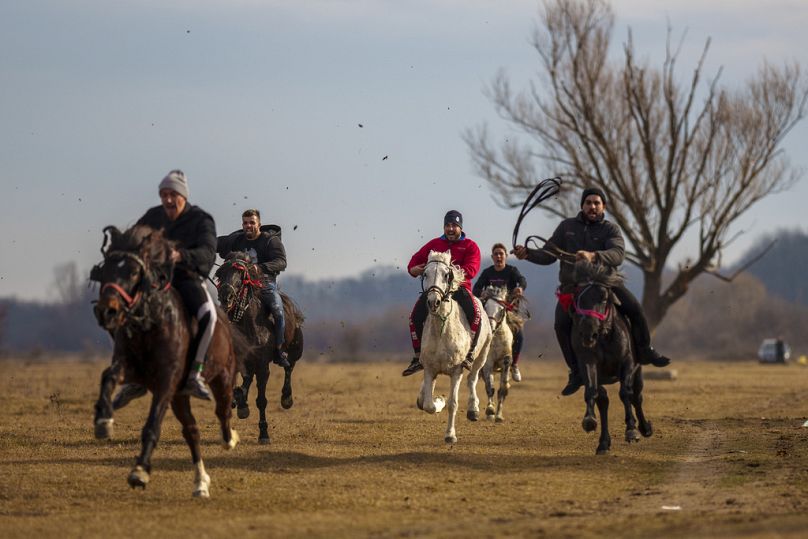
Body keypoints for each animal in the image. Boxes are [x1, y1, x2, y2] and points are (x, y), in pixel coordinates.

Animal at [92, 225, 240, 497]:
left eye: (133, 272)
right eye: (105, 269)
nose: (106, 311)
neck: (150, 322)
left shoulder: (165, 382)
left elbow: (152, 426)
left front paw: (140, 471)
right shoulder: (132, 369)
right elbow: (108, 376)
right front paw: (103, 421)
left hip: (222, 378)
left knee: (223, 413)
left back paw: (230, 439)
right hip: (179, 397)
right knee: (192, 431)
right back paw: (200, 483)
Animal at [214, 251, 304, 444]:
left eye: (241, 275)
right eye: (221, 272)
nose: (226, 296)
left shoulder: (263, 366)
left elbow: (261, 400)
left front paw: (264, 434)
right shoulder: (237, 361)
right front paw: (239, 402)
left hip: (296, 349)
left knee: (289, 367)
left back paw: (286, 398)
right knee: (248, 378)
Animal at [415, 250, 492, 444]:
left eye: (446, 275)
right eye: (425, 274)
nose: (433, 302)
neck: (441, 329)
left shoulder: (456, 371)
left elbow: (453, 403)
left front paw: (450, 435)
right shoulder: (430, 369)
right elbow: (427, 404)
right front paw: (438, 401)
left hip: (482, 356)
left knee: (472, 379)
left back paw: (473, 409)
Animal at [479, 285, 525, 423]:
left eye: (501, 309)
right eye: (485, 306)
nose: (491, 326)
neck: (497, 338)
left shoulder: (506, 362)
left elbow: (503, 389)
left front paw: (499, 416)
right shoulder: (488, 363)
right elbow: (490, 388)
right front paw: (490, 410)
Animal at [567, 260, 653, 455]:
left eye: (604, 298)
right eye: (578, 298)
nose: (588, 333)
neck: (604, 336)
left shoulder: (627, 363)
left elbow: (625, 393)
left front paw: (632, 430)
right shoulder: (588, 363)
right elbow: (591, 392)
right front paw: (589, 420)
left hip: (638, 372)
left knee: (637, 396)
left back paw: (645, 428)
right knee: (603, 401)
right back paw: (603, 443)